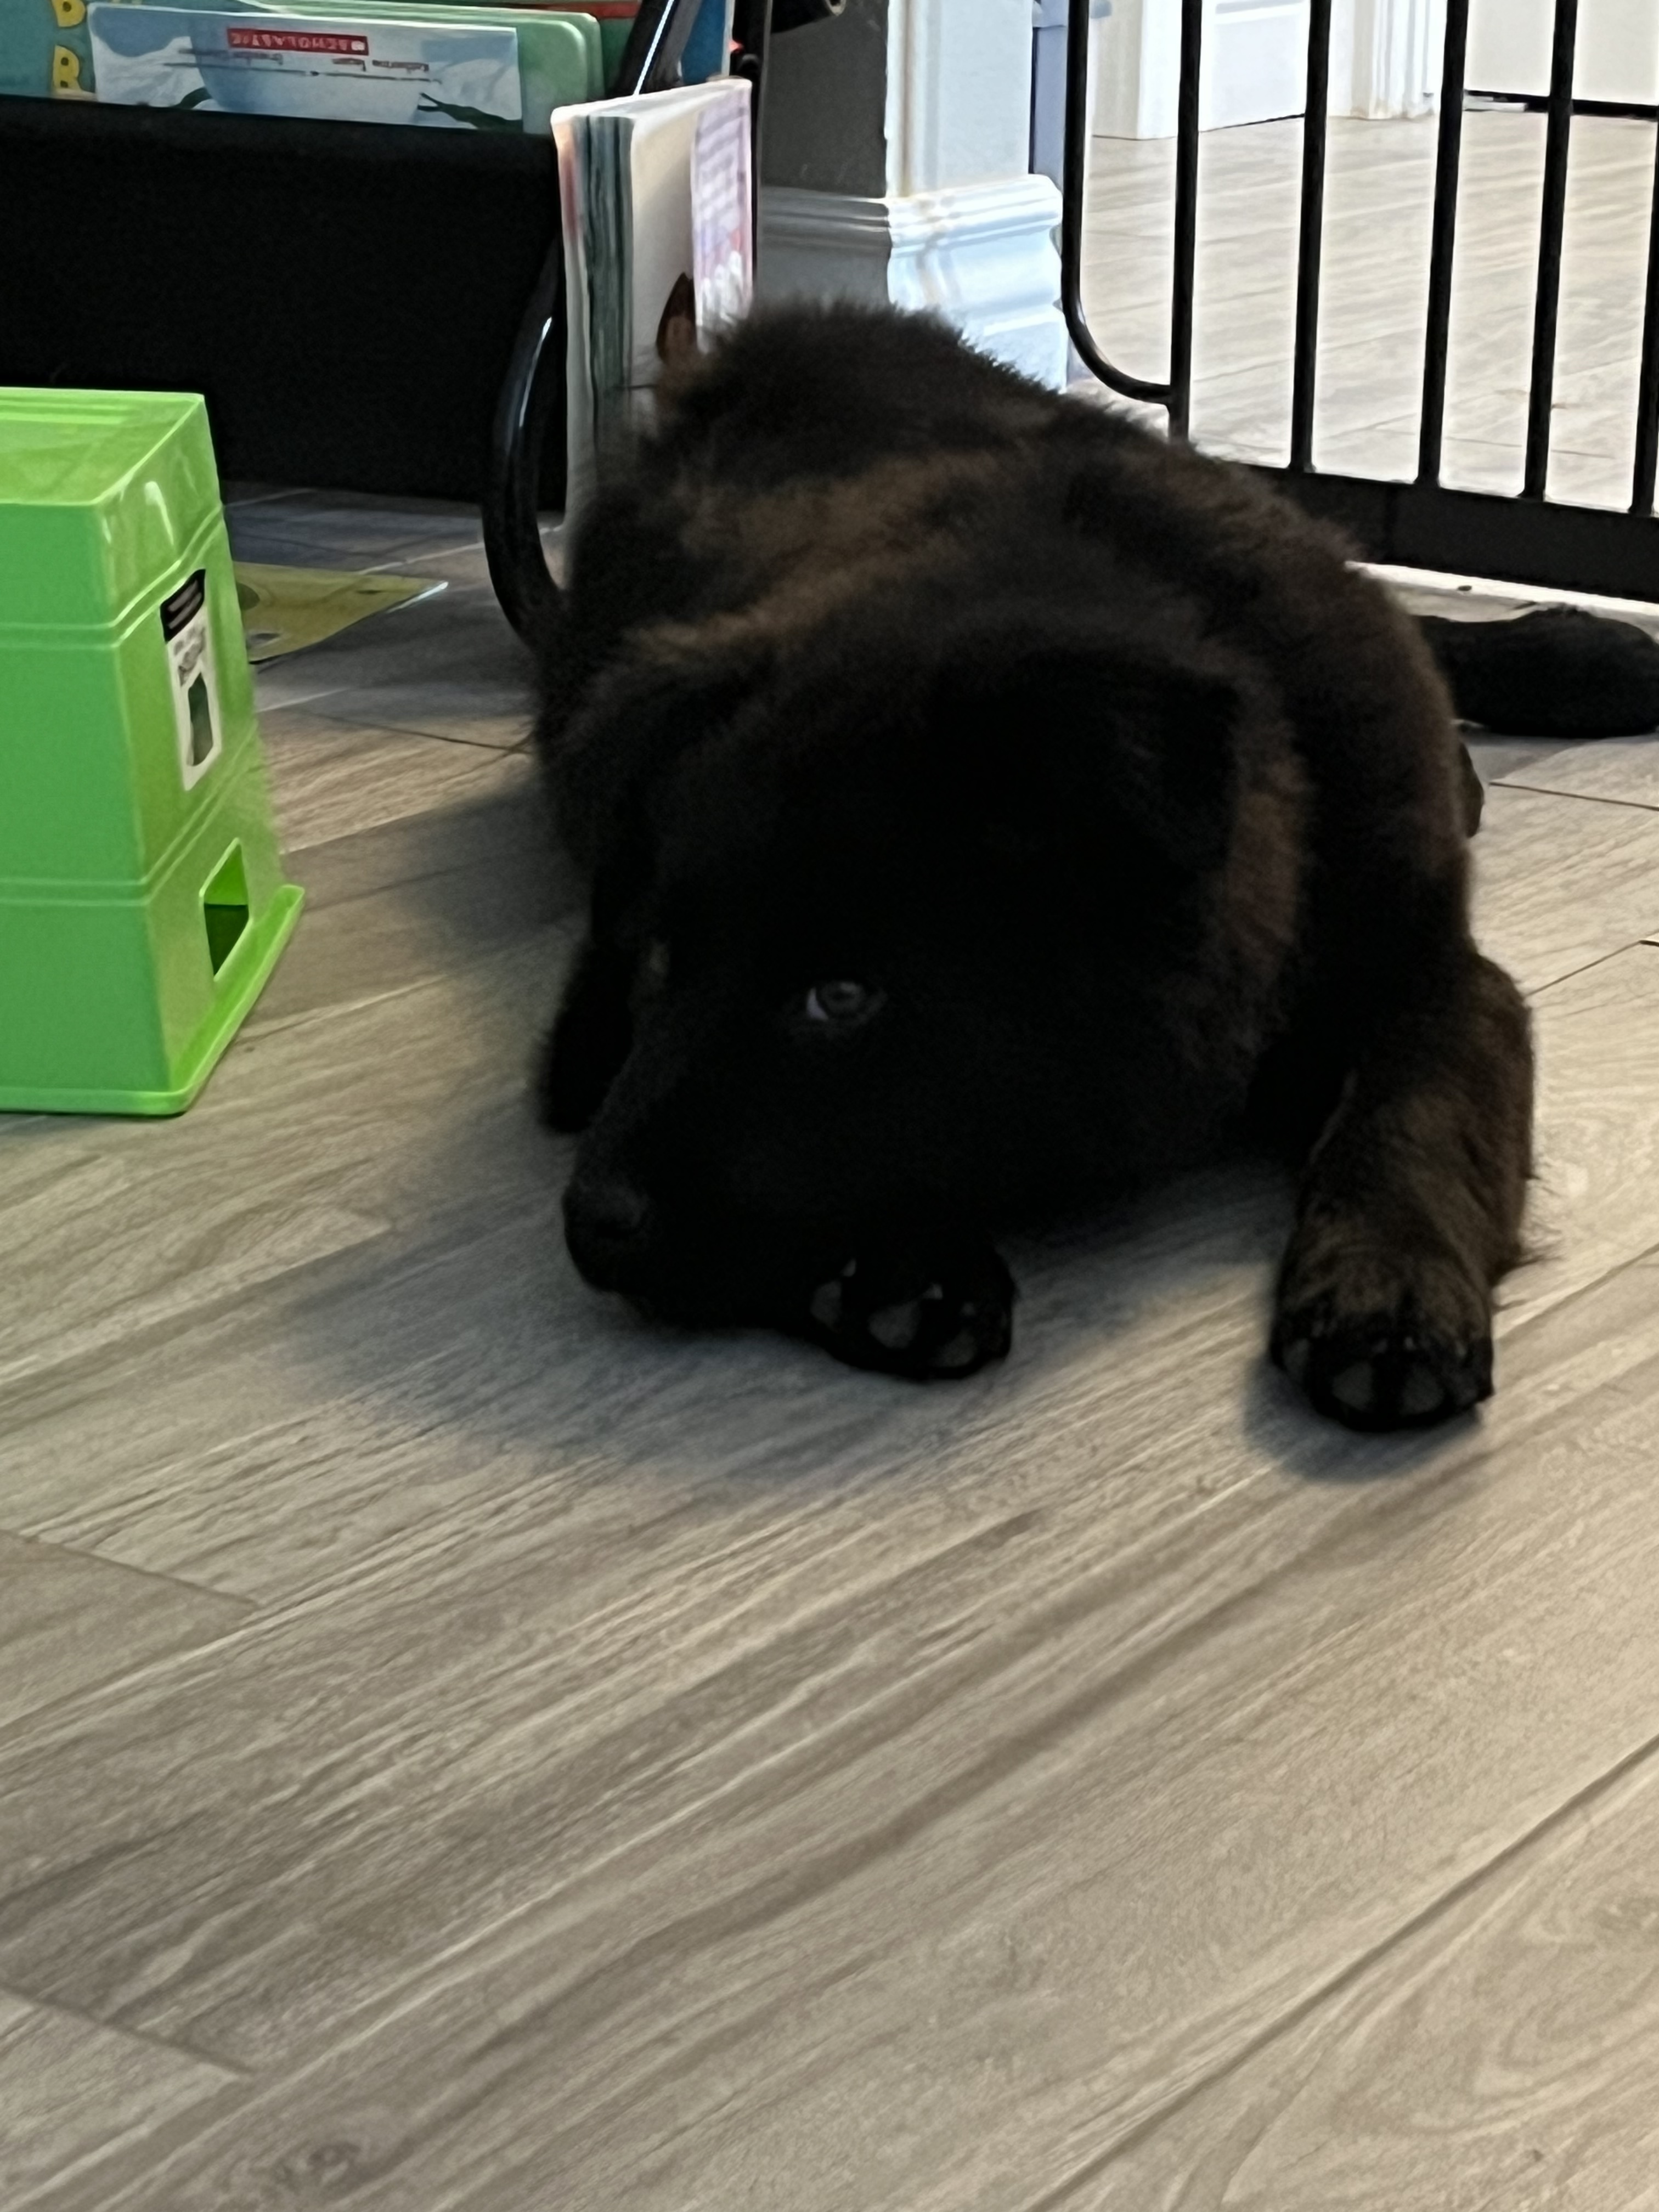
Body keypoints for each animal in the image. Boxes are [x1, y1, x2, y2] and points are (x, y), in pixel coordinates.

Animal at [539, 303, 1654, 1433]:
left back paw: (1584, 659)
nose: (589, 1221)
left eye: (841, 997)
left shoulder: (1431, 962)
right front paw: (893, 1268)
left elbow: (1417, 1110)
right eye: (657, 962)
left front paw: (1387, 1288)